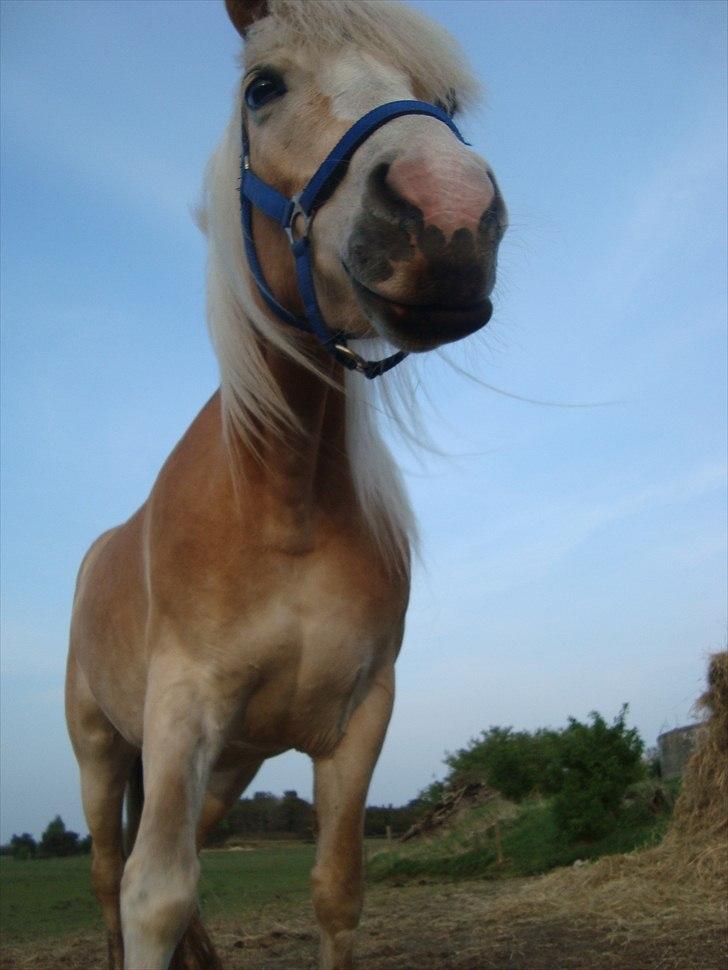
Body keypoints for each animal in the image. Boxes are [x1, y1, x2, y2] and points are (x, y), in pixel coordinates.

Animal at [64, 1, 506, 968]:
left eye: (446, 100)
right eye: (262, 89)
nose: (449, 211)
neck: (281, 501)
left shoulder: (358, 717)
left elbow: (334, 892)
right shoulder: (181, 707)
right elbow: (152, 894)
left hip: (231, 765)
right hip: (102, 749)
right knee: (111, 879)